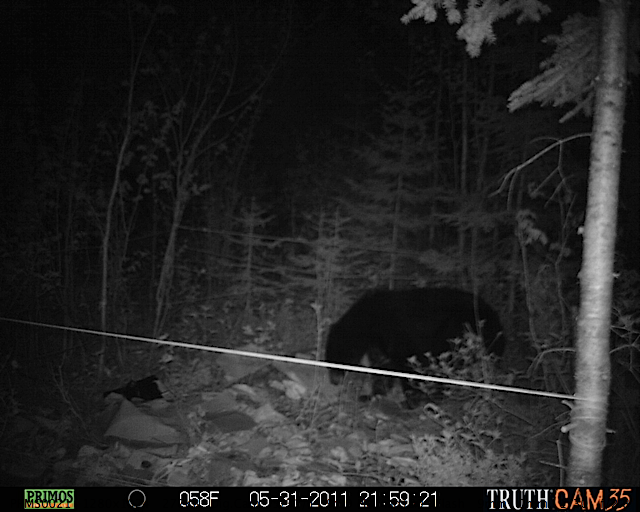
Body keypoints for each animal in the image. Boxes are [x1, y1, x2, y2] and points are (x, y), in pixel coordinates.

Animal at [324, 288, 504, 404]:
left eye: (336, 356)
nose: (334, 380)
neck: (370, 322)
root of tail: (498, 324)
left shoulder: (400, 332)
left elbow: (407, 364)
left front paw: (411, 398)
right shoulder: (379, 344)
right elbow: (382, 366)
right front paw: (371, 395)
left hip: (458, 333)